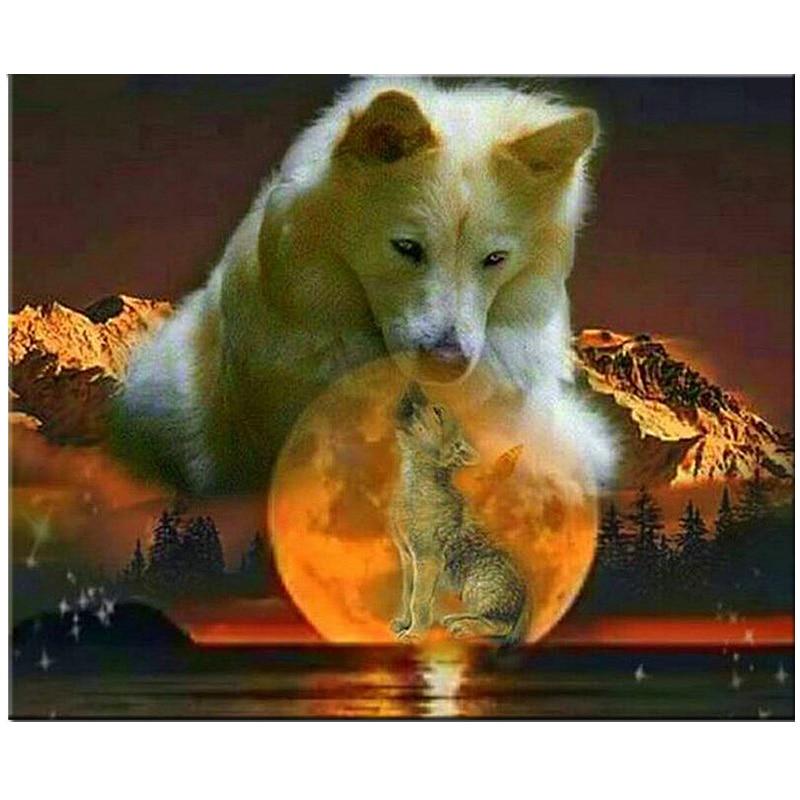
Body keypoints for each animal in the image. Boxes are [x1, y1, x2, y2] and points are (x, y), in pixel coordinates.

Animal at [390, 382, 528, 644]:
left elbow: (418, 601)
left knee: (499, 625)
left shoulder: (427, 560)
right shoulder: (407, 558)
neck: (415, 482)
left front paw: (415, 633)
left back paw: (465, 628)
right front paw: (405, 623)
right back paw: (456, 619)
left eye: (437, 412)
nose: (413, 382)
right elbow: (406, 595)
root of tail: (527, 598)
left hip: (476, 585)